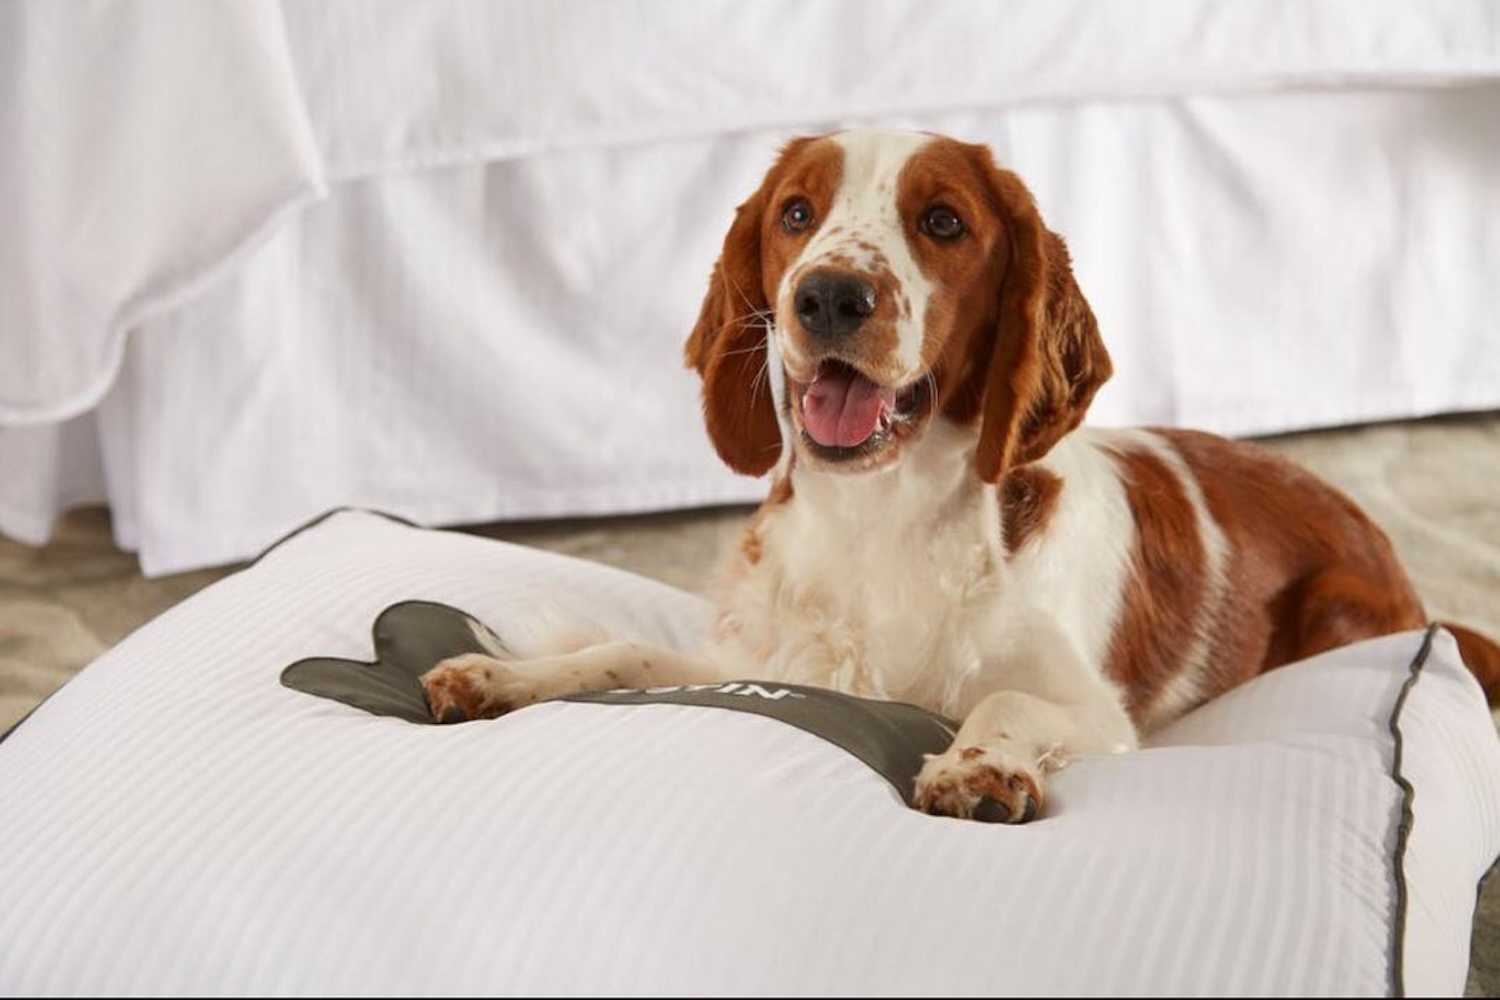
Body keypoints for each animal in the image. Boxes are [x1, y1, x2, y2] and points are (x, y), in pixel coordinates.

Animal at [426, 128, 1500, 827]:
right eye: (795, 213)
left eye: (942, 221)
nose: (828, 295)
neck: (879, 517)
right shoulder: (769, 660)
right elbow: (622, 655)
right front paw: (503, 673)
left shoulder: (1097, 712)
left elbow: (1008, 703)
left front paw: (975, 766)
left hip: (1339, 610)